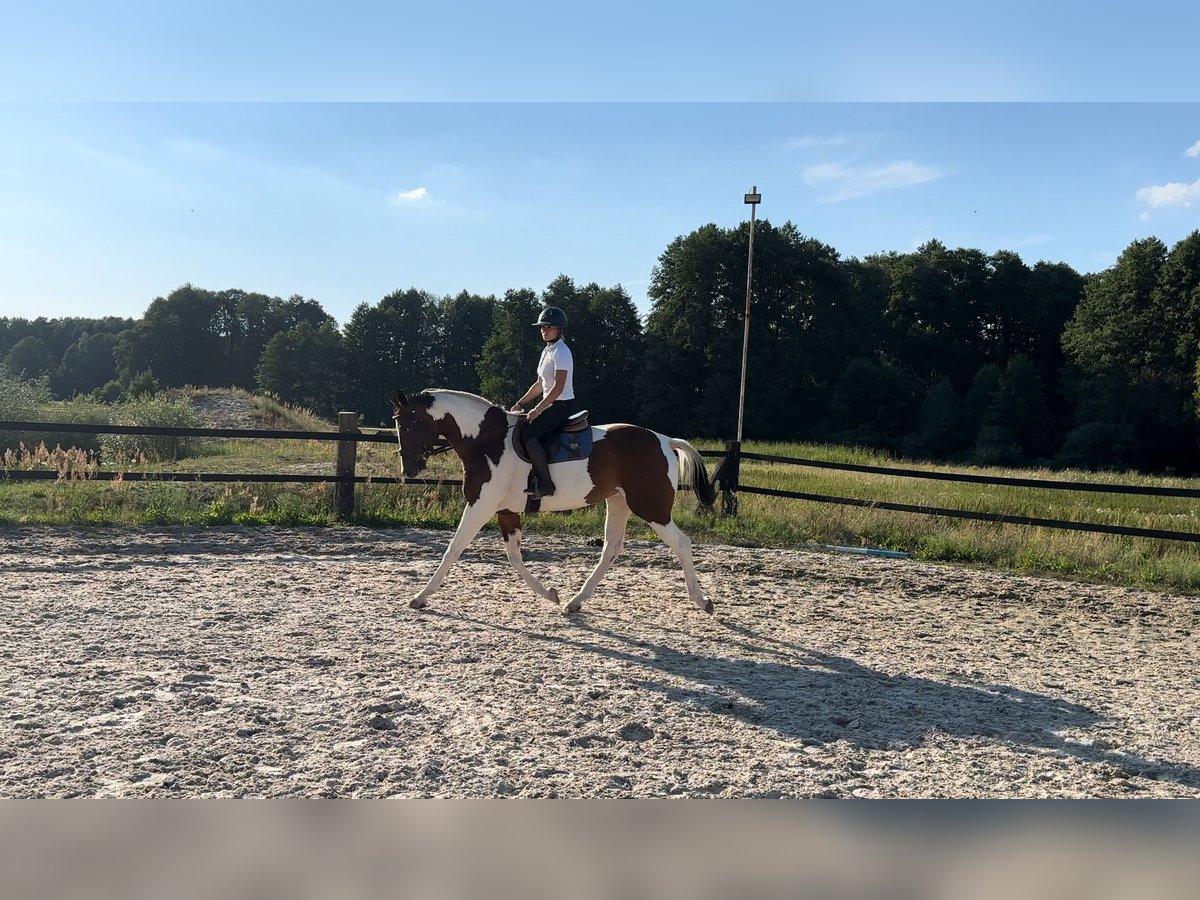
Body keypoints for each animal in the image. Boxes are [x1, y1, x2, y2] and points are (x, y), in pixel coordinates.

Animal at [388, 391, 715, 619]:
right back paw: (575, 602)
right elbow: (514, 557)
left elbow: (453, 549)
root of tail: (665, 440)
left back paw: (703, 601)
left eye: (407, 423)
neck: (486, 441)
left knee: (682, 543)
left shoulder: (480, 504)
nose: (409, 469)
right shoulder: (506, 511)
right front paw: (550, 594)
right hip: (619, 502)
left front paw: (420, 597)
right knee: (611, 549)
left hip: (650, 507)